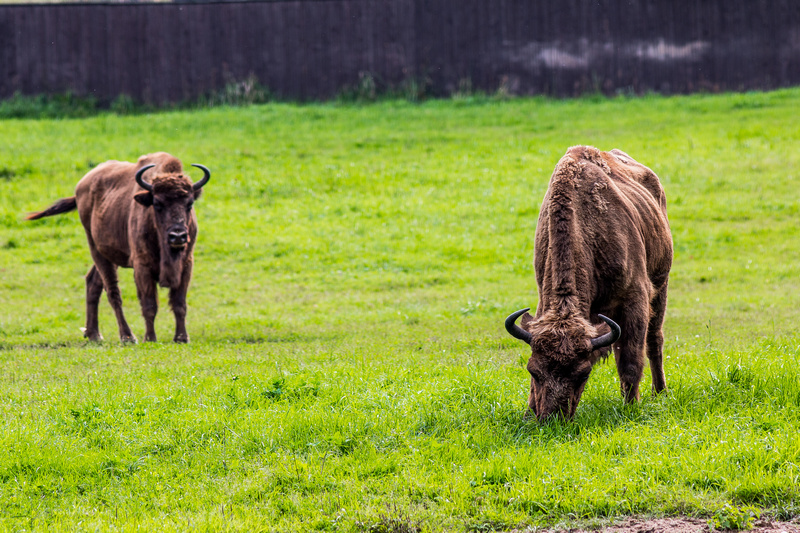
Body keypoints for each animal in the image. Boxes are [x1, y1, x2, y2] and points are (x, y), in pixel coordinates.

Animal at [27, 153, 211, 344]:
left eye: (189, 204)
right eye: (157, 203)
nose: (178, 236)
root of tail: (81, 186)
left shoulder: (186, 264)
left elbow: (179, 303)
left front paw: (182, 338)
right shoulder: (142, 266)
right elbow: (149, 305)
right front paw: (150, 338)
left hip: (108, 255)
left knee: (93, 282)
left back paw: (93, 334)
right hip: (96, 250)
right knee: (113, 292)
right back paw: (128, 337)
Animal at [510, 147, 672, 420]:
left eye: (583, 373)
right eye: (533, 370)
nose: (552, 418)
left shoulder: (635, 299)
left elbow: (630, 360)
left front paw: (631, 407)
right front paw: (528, 413)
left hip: (661, 286)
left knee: (654, 340)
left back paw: (659, 392)